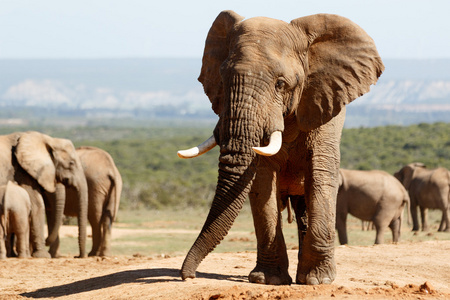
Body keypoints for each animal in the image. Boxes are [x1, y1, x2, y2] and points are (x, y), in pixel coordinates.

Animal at [176, 10, 384, 284]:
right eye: (223, 78)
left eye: (280, 84)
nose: (188, 276)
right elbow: (263, 182)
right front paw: (267, 279)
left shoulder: (327, 101)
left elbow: (321, 173)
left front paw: (319, 281)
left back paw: (306, 276)